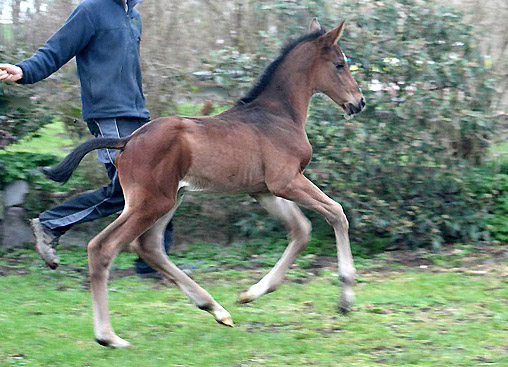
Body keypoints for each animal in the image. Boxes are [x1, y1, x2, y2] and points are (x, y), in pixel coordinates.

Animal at [42, 19, 362, 348]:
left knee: (149, 245)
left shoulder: (263, 190)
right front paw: (346, 298)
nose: (358, 102)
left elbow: (301, 229)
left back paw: (215, 309)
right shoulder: (286, 181)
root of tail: (128, 140)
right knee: (103, 247)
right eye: (339, 64)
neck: (277, 115)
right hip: (151, 203)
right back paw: (108, 336)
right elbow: (336, 213)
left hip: (170, 199)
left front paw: (251, 294)